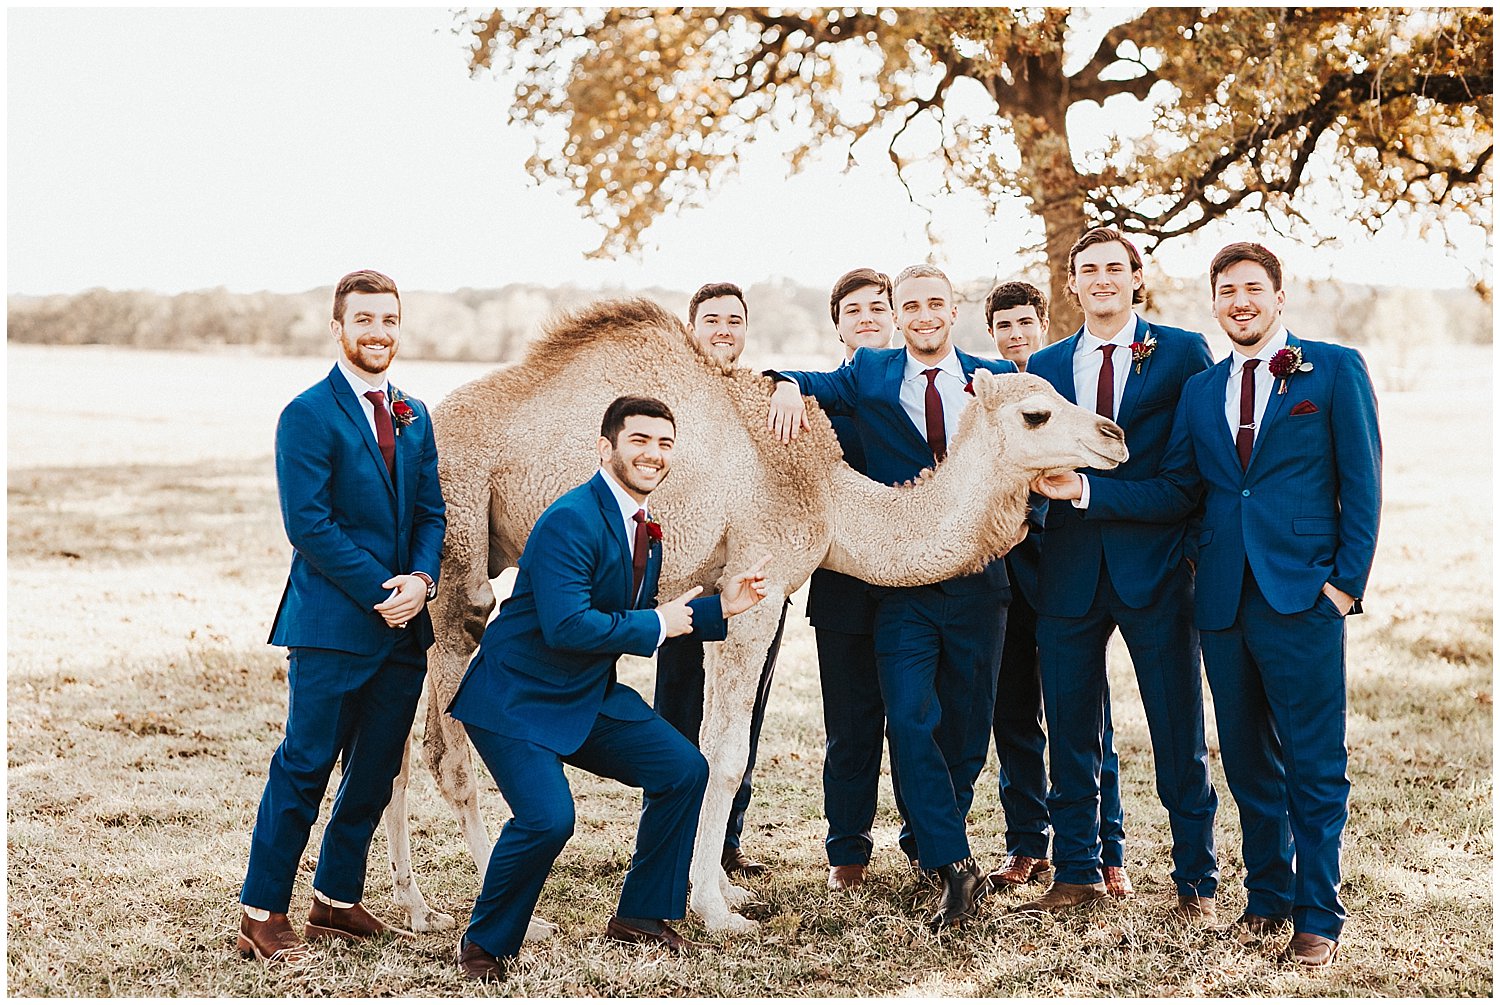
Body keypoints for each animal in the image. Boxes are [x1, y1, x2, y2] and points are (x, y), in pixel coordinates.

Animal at [381, 297, 1128, 936]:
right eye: (1037, 414)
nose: (1114, 434)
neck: (828, 495)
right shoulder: (757, 586)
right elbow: (726, 750)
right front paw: (715, 911)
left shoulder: (720, 591)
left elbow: (720, 745)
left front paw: (722, 890)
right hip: (457, 549)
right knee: (450, 742)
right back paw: (506, 912)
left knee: (399, 747)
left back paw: (416, 909)